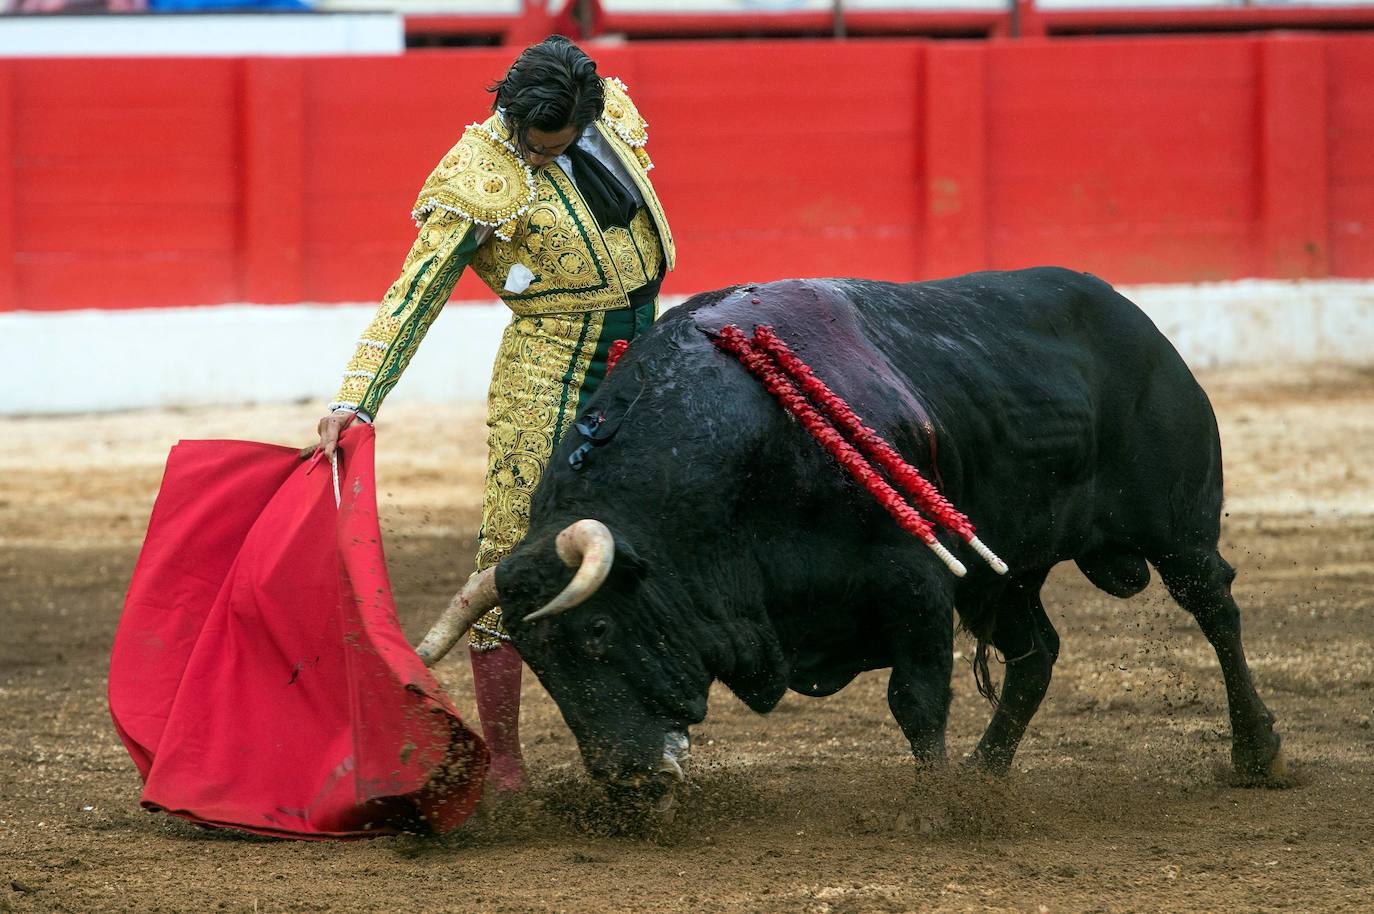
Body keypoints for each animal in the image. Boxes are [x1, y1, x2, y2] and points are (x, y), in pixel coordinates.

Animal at [425, 265, 1275, 791]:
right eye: (538, 661)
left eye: (599, 633)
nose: (624, 781)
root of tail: (1141, 326)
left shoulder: (918, 584)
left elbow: (916, 698)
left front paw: (936, 810)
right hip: (1003, 576)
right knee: (1036, 654)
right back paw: (986, 772)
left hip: (1177, 531)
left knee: (1216, 609)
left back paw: (1256, 751)